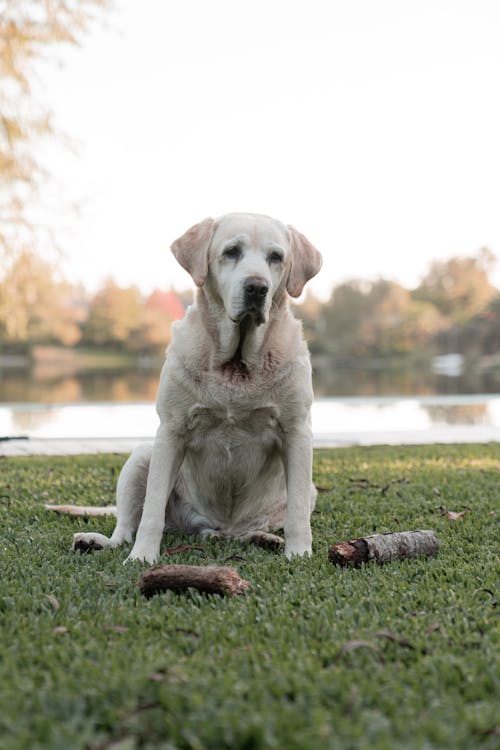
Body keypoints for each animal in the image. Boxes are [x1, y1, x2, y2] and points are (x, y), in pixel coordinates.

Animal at [67, 213, 320, 564]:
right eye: (231, 252)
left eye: (276, 257)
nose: (257, 287)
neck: (236, 364)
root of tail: (220, 530)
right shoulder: (171, 430)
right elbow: (151, 512)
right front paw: (142, 557)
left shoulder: (297, 432)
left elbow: (297, 514)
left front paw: (300, 554)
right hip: (142, 457)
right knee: (125, 526)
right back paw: (96, 541)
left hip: (309, 490)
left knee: (260, 525)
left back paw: (263, 538)